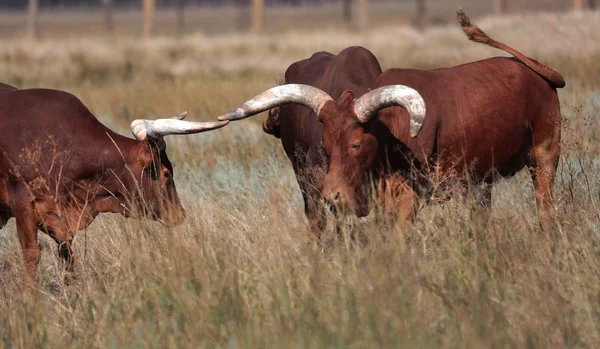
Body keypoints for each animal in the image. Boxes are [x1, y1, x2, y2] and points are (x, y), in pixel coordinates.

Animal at [0, 84, 230, 280]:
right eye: (166, 173)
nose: (179, 214)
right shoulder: (24, 207)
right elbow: (32, 256)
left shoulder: (60, 222)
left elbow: (68, 258)